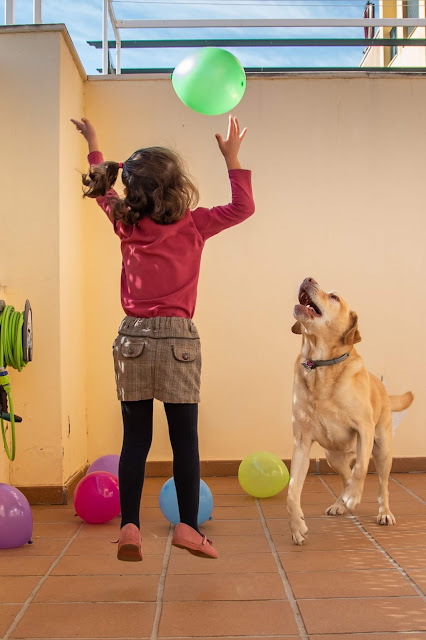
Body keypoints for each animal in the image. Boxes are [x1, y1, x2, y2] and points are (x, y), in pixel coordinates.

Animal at [286, 276, 412, 544]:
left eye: (334, 297)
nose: (308, 278)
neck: (320, 366)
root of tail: (381, 387)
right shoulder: (301, 441)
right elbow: (292, 490)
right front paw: (297, 526)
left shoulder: (364, 428)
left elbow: (362, 468)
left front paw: (355, 496)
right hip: (333, 456)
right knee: (346, 475)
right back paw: (340, 503)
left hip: (382, 450)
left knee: (381, 484)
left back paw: (383, 512)